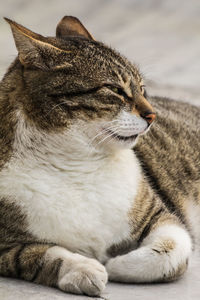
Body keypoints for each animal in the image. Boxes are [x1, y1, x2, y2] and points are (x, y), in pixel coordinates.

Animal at [0, 15, 199, 296]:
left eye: (142, 88)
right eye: (114, 89)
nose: (152, 115)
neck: (78, 163)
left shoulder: (161, 215)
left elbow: (172, 249)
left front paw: (116, 265)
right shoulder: (6, 246)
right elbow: (38, 255)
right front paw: (84, 269)